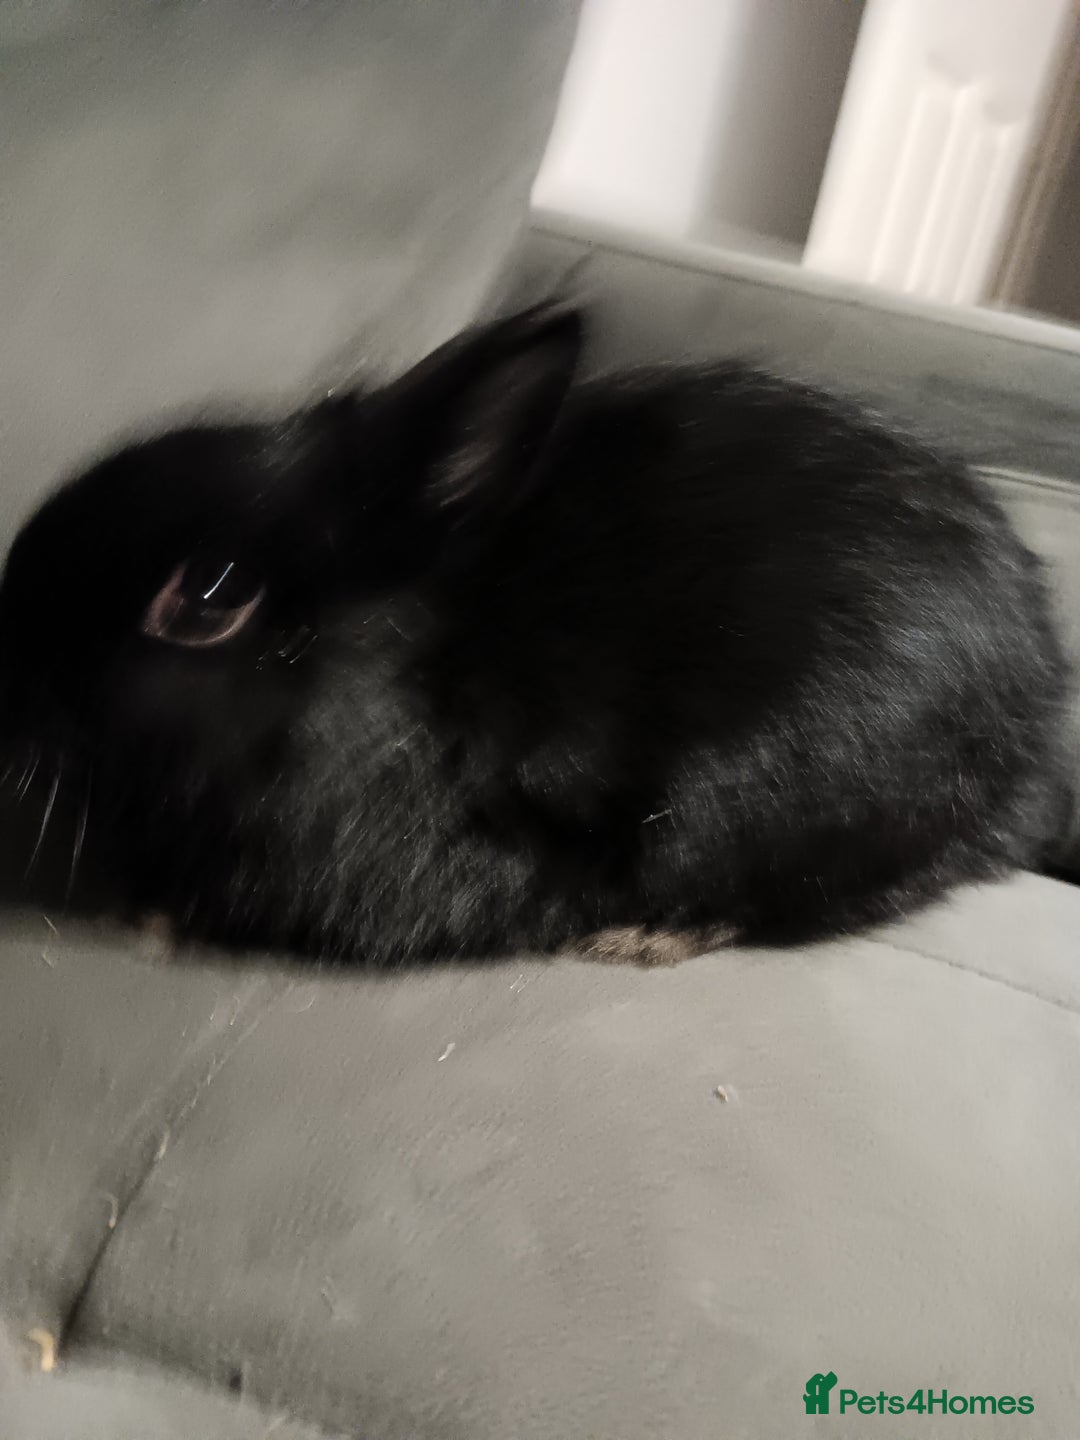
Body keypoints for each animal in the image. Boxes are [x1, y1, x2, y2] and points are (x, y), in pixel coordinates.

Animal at [0, 304, 1068, 966]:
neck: (416, 681)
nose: (7, 652)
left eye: (213, 594)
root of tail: (1042, 723)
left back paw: (652, 938)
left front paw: (145, 914)